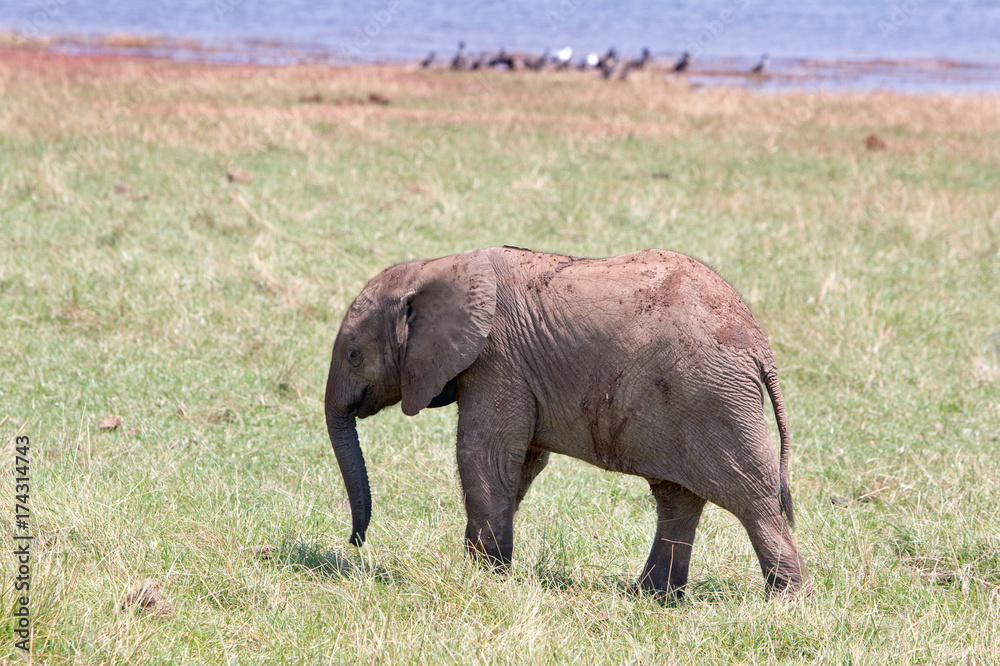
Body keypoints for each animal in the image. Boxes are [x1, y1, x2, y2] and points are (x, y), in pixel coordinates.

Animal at [324, 246, 809, 598]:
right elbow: (520, 462)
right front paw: (488, 568)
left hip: (713, 398)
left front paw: (483, 576)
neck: (436, 267)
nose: (354, 542)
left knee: (752, 498)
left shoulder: (497, 358)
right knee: (678, 499)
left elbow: (485, 453)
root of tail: (759, 345)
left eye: (354, 355)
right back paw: (650, 597)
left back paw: (784, 601)